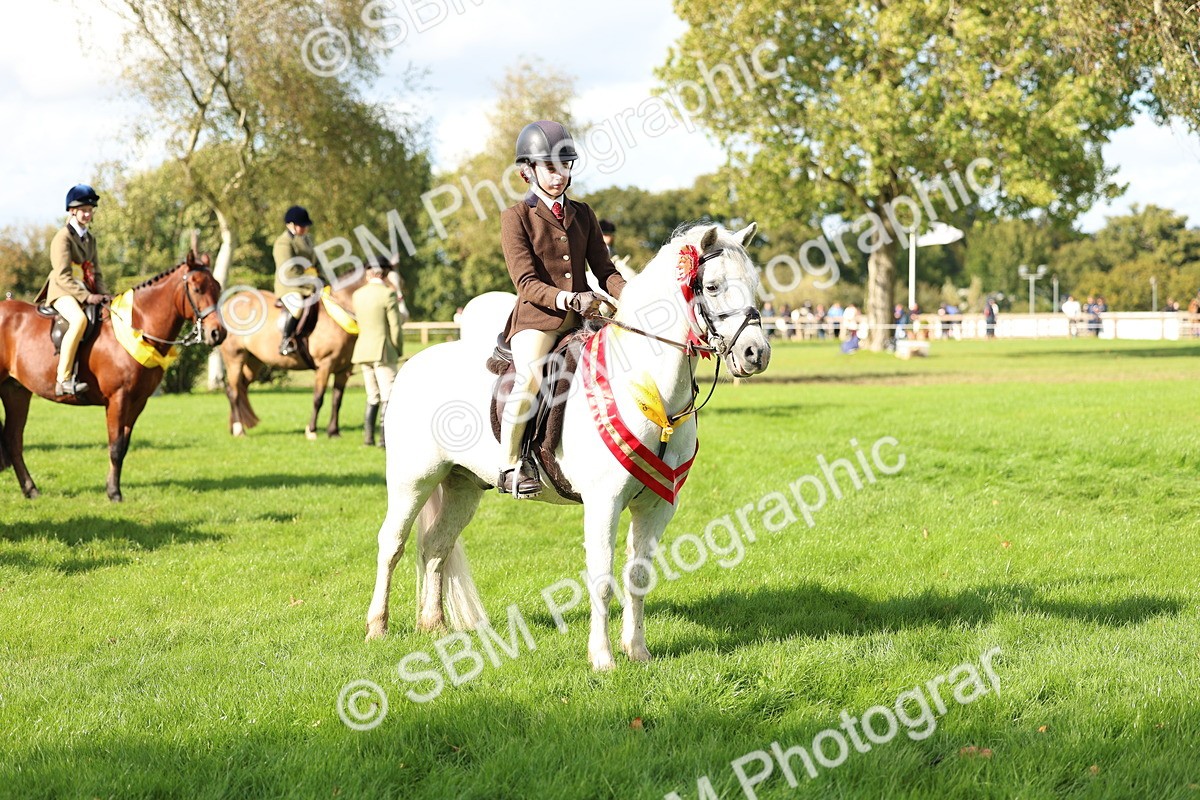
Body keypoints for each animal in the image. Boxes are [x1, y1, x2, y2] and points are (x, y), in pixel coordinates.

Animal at [0, 252, 227, 501]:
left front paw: (113, 488)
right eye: (197, 288)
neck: (136, 327)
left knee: (13, 439)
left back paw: (30, 490)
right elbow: (115, 446)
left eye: (217, 287)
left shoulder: (137, 402)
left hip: (16, 392)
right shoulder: (118, 398)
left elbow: (124, 446)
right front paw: (114, 493)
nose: (217, 333)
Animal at [219, 273, 368, 440]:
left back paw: (235, 426)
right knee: (234, 392)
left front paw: (333, 432)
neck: (337, 313)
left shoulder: (345, 369)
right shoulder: (325, 365)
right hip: (234, 359)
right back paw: (239, 429)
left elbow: (337, 400)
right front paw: (311, 431)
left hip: (253, 362)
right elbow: (318, 398)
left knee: (241, 387)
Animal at [365, 222, 770, 670]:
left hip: (462, 485)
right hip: (413, 481)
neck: (648, 390)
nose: (755, 353)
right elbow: (602, 578)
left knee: (436, 545)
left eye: (754, 285)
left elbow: (639, 576)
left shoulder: (657, 503)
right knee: (392, 545)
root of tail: (414, 364)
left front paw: (638, 651)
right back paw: (378, 627)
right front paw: (603, 658)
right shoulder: (604, 501)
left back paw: (433, 624)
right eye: (712, 286)